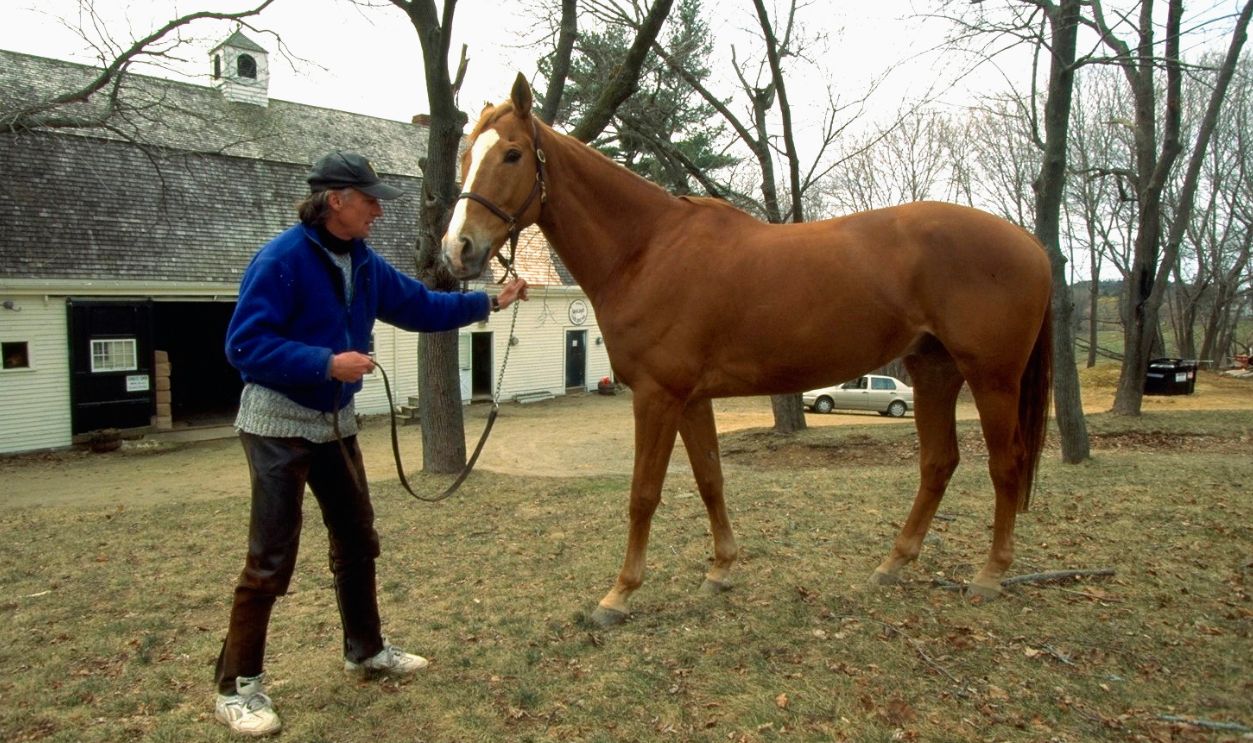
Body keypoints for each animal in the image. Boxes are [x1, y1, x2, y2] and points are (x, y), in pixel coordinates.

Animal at [441, 74, 1053, 626]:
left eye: (513, 154)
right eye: (467, 155)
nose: (458, 249)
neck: (646, 249)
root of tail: (1034, 246)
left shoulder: (657, 396)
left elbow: (644, 493)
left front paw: (618, 596)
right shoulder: (690, 398)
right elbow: (710, 479)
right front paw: (721, 569)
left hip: (992, 378)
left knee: (1005, 463)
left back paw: (989, 575)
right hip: (933, 371)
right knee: (938, 463)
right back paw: (893, 564)